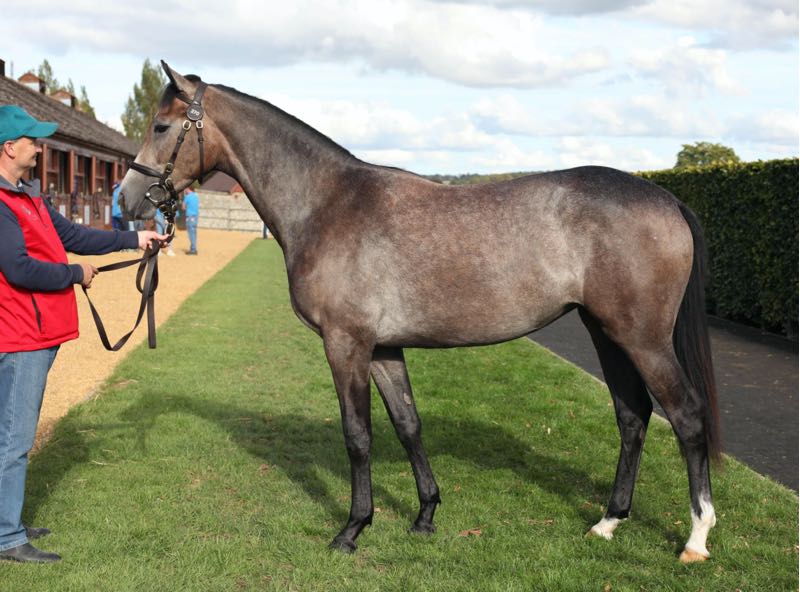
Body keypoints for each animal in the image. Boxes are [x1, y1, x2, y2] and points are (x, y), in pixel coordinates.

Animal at [120, 62, 721, 563]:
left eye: (161, 127)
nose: (126, 201)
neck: (328, 203)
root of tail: (667, 199)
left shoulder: (346, 344)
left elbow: (358, 436)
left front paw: (352, 529)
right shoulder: (384, 347)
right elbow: (408, 425)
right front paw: (426, 514)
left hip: (643, 338)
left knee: (687, 417)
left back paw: (695, 538)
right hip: (606, 332)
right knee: (633, 417)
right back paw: (608, 523)